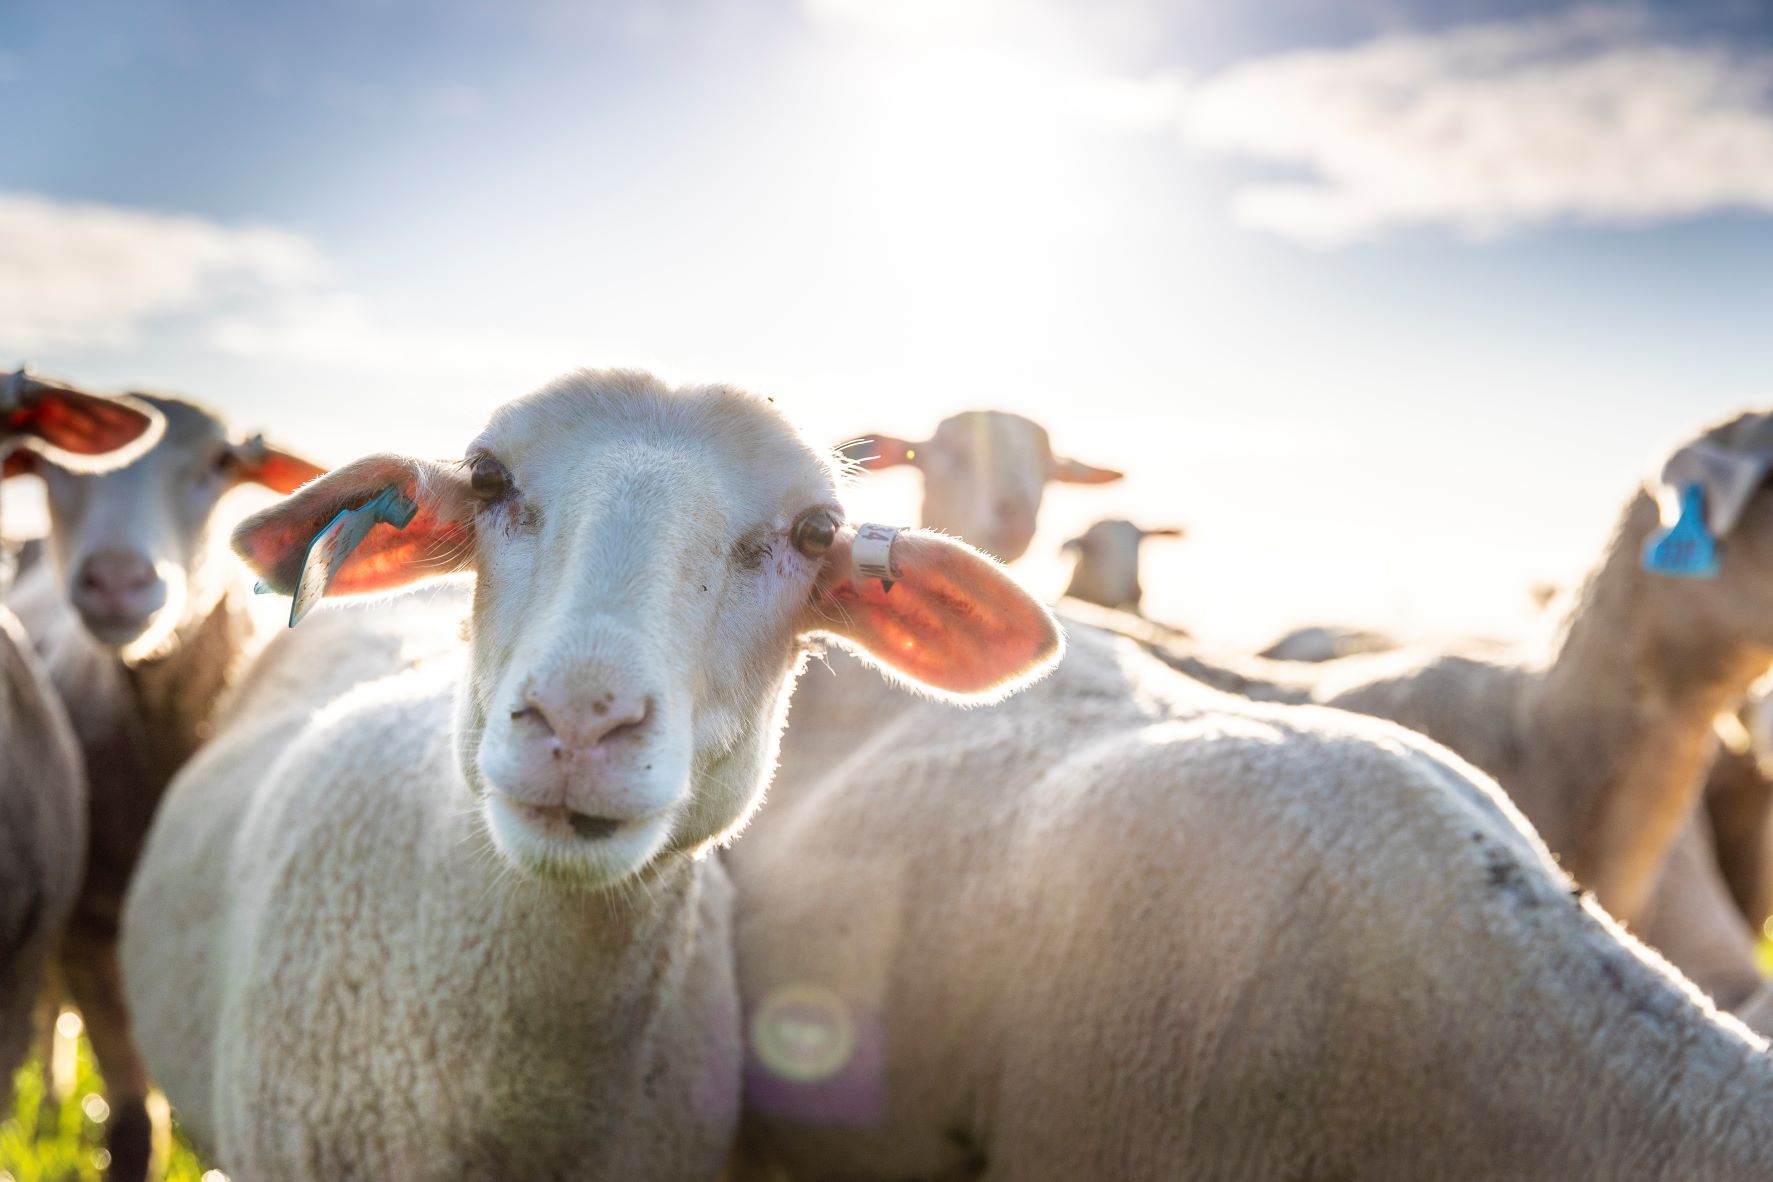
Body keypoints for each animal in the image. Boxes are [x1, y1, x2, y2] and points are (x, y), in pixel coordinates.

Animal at [5, 393, 322, 1182]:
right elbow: (131, 1125)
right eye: (49, 471)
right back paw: (49, 1106)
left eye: (221, 462)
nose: (117, 581)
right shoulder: (89, 927)